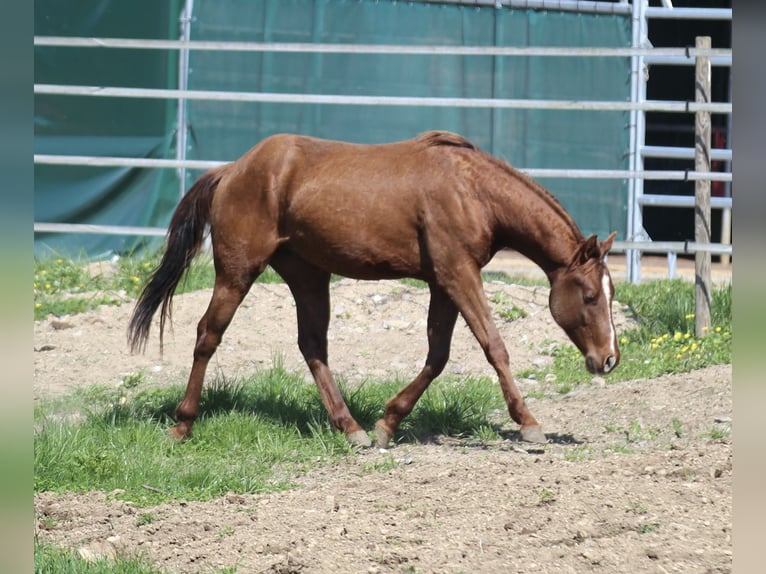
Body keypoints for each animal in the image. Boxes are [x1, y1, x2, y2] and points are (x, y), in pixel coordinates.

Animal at [128, 130, 620, 448]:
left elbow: (438, 355)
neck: (473, 189)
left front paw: (388, 423)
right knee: (208, 334)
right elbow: (493, 346)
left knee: (312, 344)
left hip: (308, 276)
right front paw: (529, 424)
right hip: (238, 271)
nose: (609, 359)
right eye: (590, 296)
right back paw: (182, 426)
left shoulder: (444, 283)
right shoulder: (458, 274)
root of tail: (233, 170)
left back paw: (352, 429)